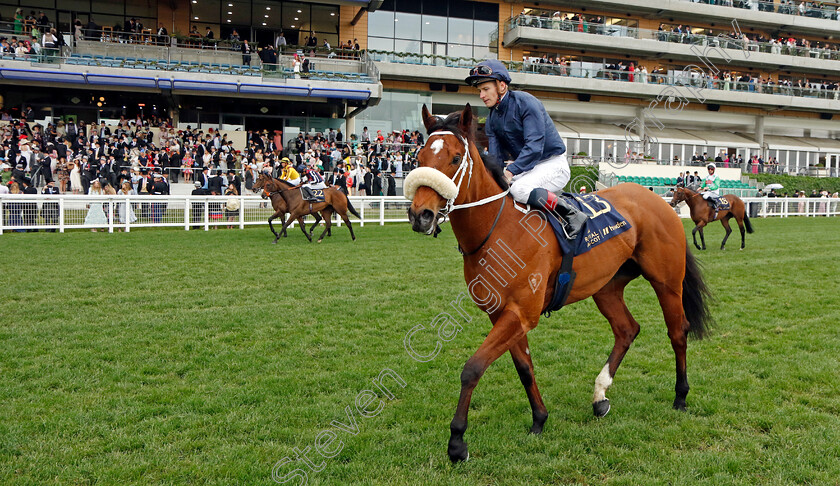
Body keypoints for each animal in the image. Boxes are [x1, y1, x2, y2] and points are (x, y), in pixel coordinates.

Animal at [404, 103, 712, 464]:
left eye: (454, 158)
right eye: (420, 155)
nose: (421, 215)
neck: (499, 229)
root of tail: (656, 199)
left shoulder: (521, 313)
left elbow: (473, 368)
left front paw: (457, 442)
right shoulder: (503, 314)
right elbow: (524, 367)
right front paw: (539, 419)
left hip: (667, 282)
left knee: (678, 331)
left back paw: (680, 396)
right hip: (606, 287)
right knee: (627, 329)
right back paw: (600, 396)